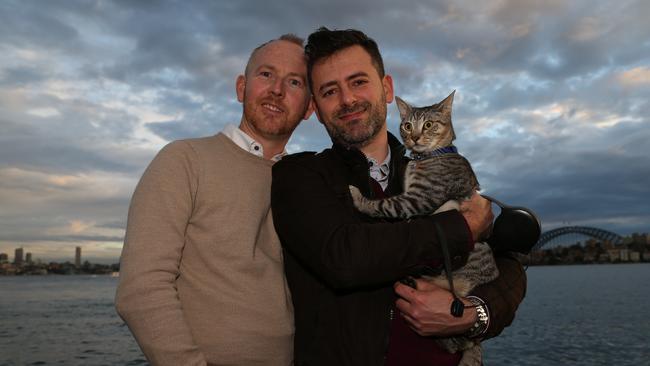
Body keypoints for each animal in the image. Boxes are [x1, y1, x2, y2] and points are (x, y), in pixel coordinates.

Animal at [350, 91, 496, 366]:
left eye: (428, 125)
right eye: (407, 125)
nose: (414, 137)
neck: (426, 157)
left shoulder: (419, 198)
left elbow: (385, 204)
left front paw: (358, 198)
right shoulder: (412, 196)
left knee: (459, 340)